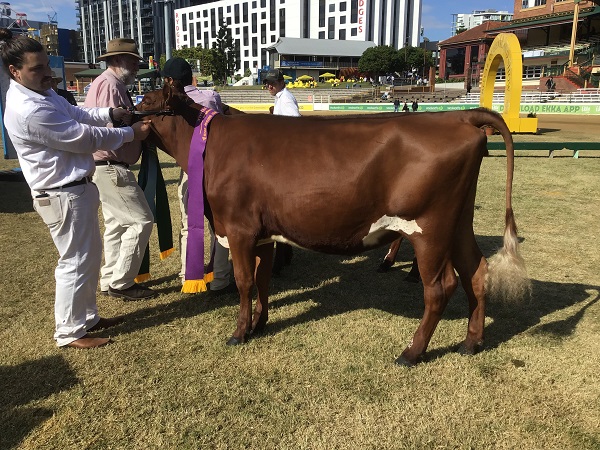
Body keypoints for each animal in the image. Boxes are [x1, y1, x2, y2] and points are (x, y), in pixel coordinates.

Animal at [137, 87, 528, 366]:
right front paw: (259, 325)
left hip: (429, 227)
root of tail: (458, 117)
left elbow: (245, 282)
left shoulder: (238, 228)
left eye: (148, 101)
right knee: (476, 272)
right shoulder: (262, 233)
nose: (125, 113)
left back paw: (411, 353)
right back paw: (471, 342)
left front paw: (239, 332)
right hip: (458, 223)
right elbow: (263, 279)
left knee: (440, 287)